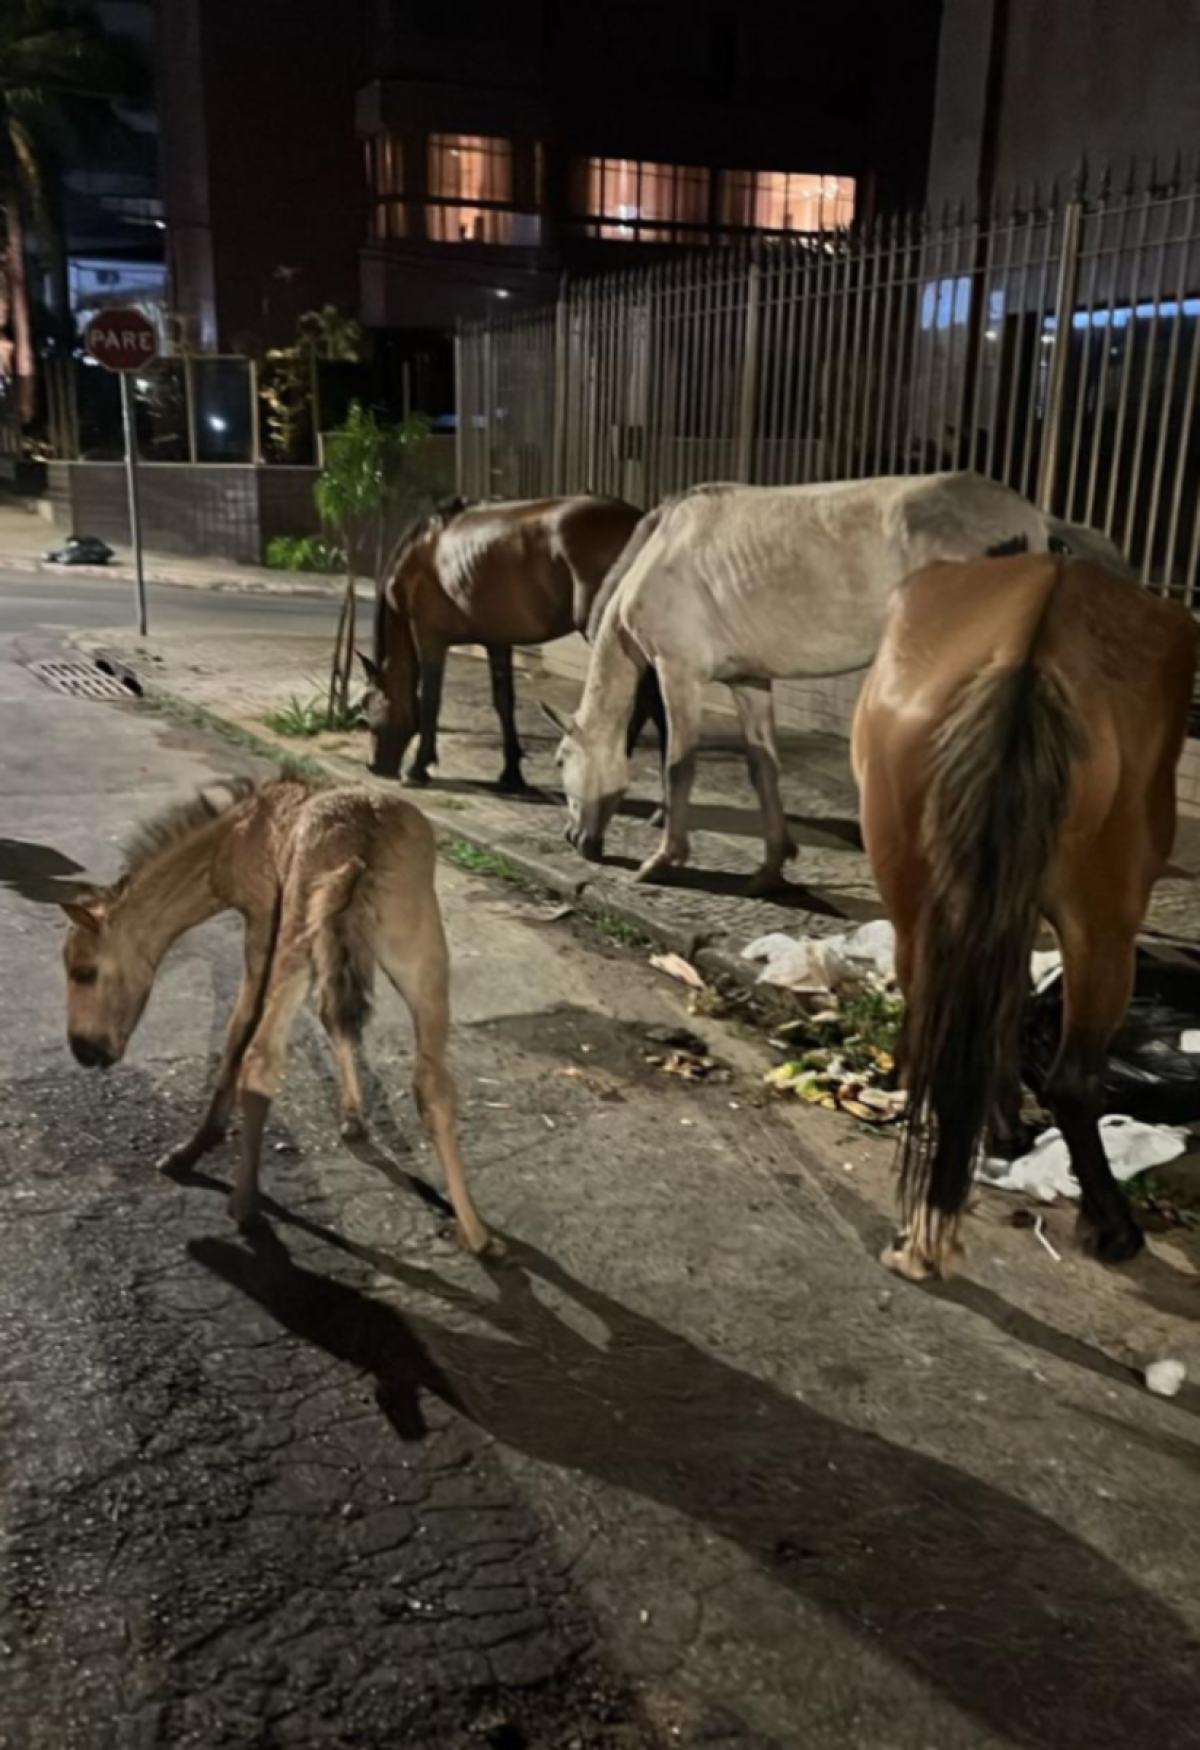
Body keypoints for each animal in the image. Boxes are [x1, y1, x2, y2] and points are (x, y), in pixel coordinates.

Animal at [57, 780, 493, 1260]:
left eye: (84, 971)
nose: (84, 1050)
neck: (231, 839)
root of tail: (364, 835)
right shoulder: (335, 949)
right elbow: (335, 1019)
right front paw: (353, 1119)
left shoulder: (263, 922)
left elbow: (238, 1037)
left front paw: (192, 1150)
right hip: (418, 954)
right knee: (432, 1082)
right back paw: (476, 1233)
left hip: (300, 935)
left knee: (262, 1056)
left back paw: (244, 1205)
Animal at [362, 493, 671, 794]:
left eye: (369, 705)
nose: (374, 766)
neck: (421, 556)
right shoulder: (497, 641)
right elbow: (503, 702)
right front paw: (511, 773)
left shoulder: (430, 637)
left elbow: (430, 700)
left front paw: (417, 768)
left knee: (652, 702)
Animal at [549, 472, 1133, 896]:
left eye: (559, 761)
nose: (574, 839)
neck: (655, 557)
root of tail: (1031, 516)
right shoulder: (749, 680)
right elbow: (764, 767)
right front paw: (771, 867)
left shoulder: (680, 673)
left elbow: (679, 766)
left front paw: (665, 859)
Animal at [857, 553, 1200, 1281]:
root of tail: (1031, 646)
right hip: (1106, 920)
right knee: (1072, 1080)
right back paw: (1111, 1223)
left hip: (919, 885)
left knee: (937, 1003)